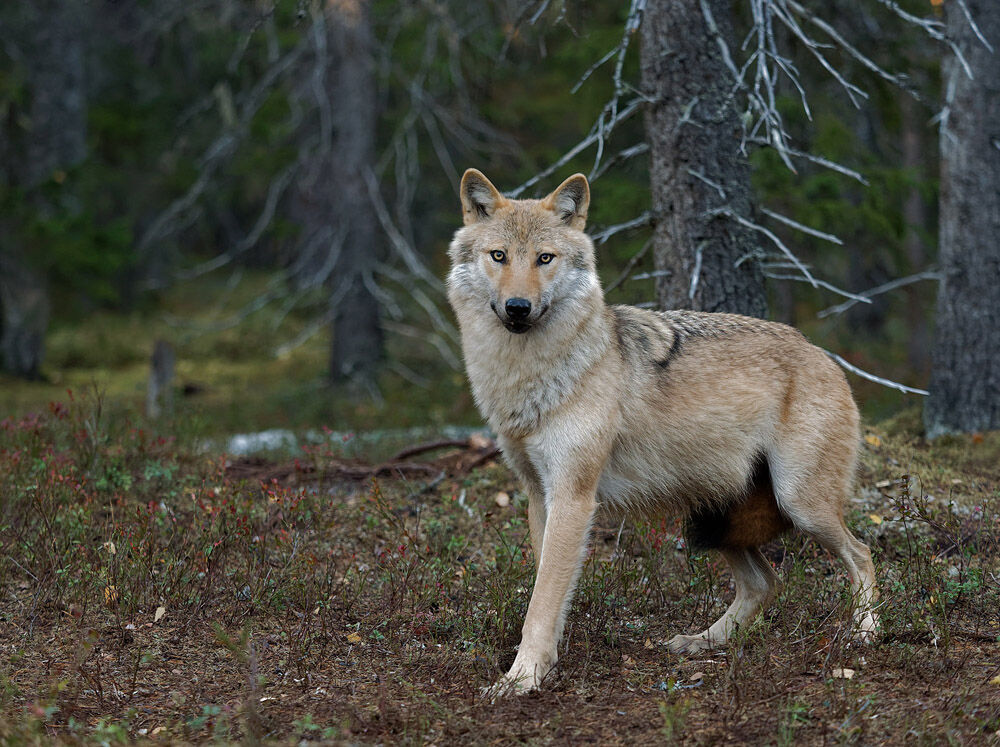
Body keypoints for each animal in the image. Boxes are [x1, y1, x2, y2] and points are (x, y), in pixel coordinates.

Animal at [446, 169, 878, 695]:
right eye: (499, 256)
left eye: (544, 258)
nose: (518, 306)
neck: (530, 376)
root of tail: (823, 355)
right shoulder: (538, 495)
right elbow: (546, 588)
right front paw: (544, 665)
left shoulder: (573, 498)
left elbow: (542, 600)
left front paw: (522, 678)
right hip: (713, 518)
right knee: (765, 582)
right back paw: (702, 642)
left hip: (800, 504)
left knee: (861, 554)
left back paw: (865, 633)